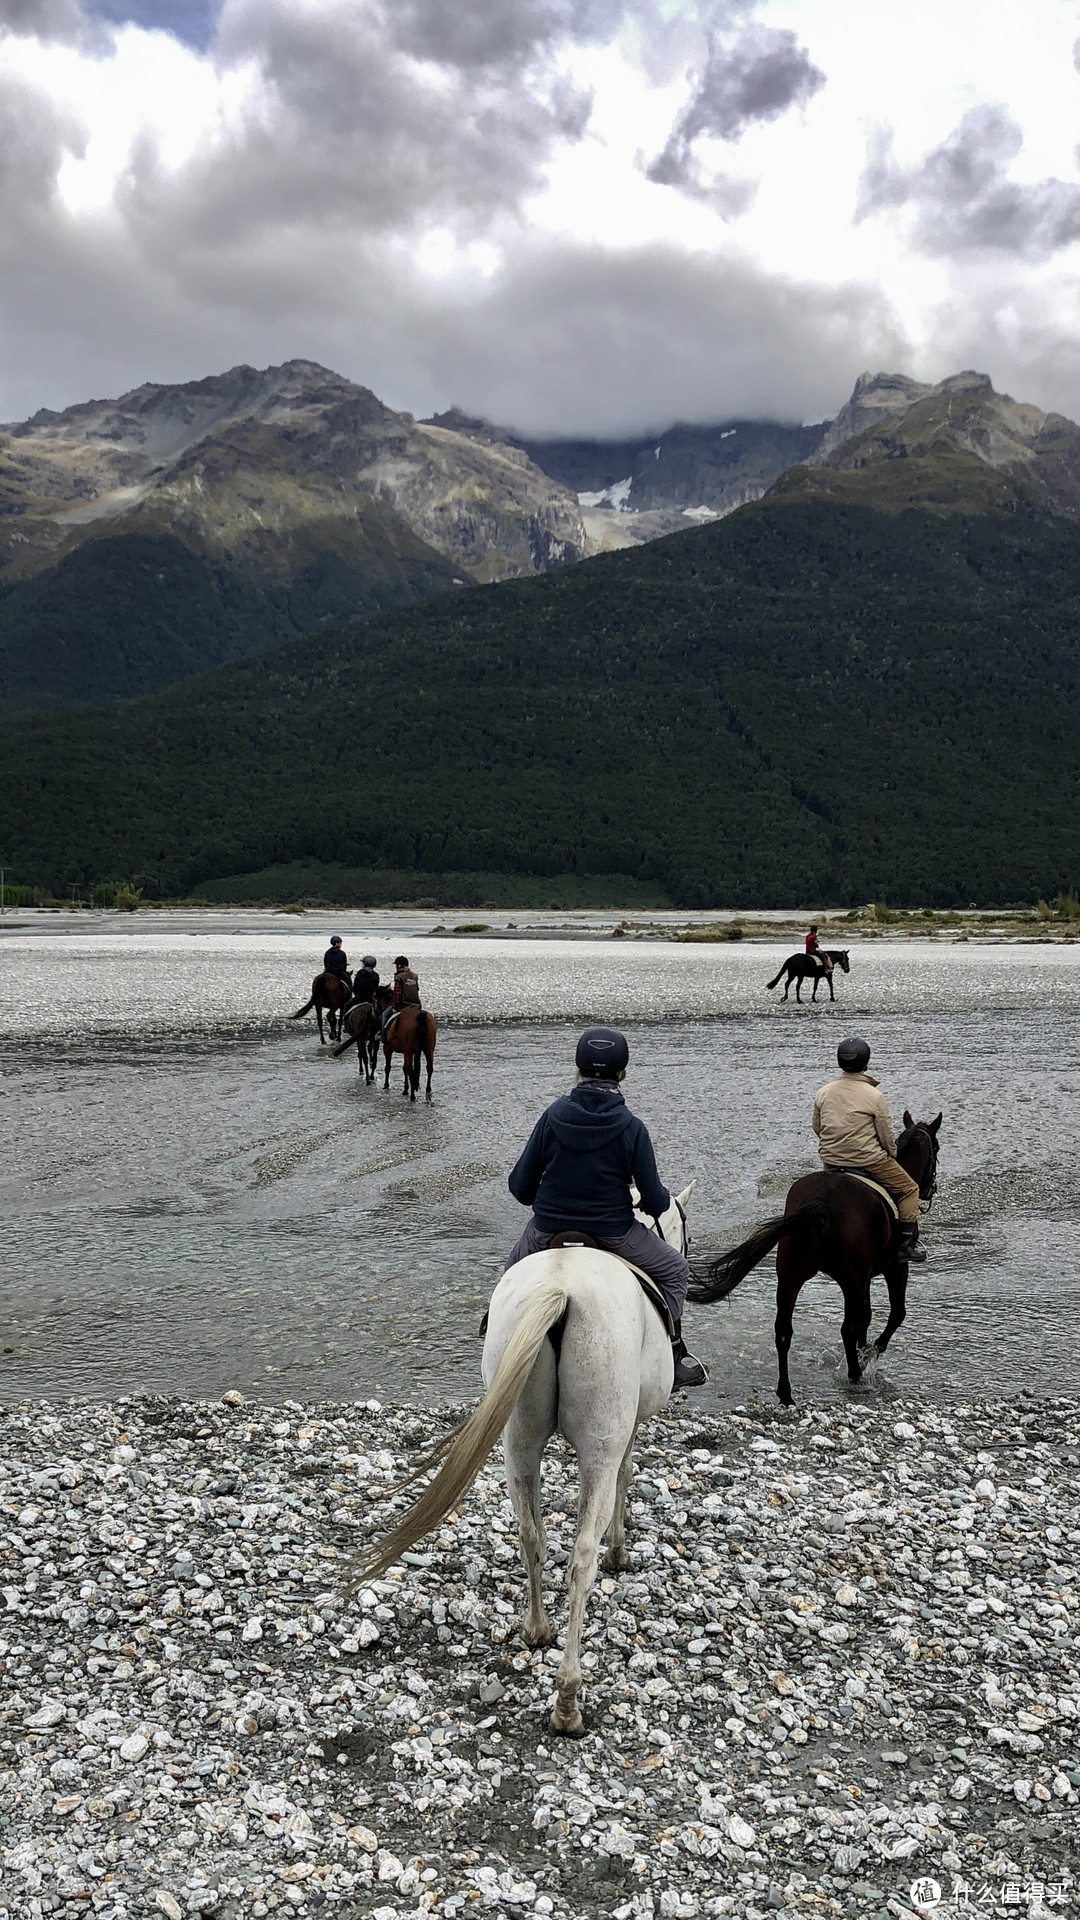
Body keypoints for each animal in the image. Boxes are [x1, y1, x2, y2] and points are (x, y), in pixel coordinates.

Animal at [349, 1182, 691, 1743]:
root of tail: (562, 1293)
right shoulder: (628, 1431)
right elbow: (626, 1477)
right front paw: (621, 1551)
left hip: (518, 1442)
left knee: (531, 1532)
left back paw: (536, 1630)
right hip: (597, 1444)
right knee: (580, 1555)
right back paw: (568, 1700)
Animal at [687, 1113, 933, 1413]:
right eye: (936, 1149)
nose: (929, 1190)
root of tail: (822, 1201)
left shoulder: (865, 1276)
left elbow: (867, 1315)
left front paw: (864, 1350)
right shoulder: (894, 1268)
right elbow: (895, 1313)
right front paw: (870, 1353)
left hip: (791, 1276)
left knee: (784, 1332)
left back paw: (786, 1393)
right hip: (850, 1279)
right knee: (847, 1327)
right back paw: (855, 1375)